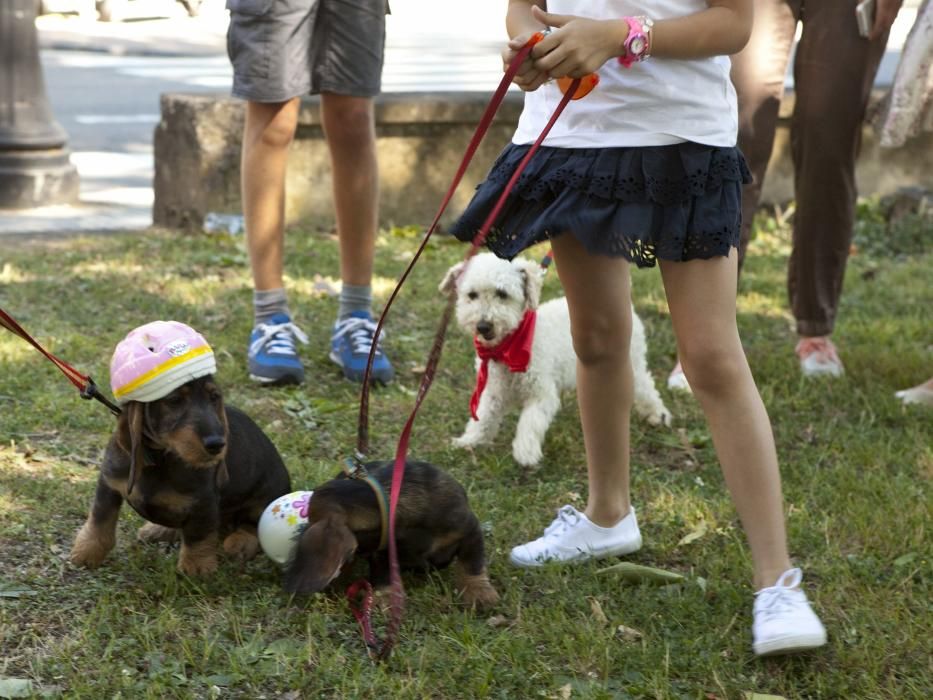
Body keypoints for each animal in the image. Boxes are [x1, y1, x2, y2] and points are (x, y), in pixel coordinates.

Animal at [438, 254, 668, 468]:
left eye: (502, 294)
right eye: (472, 295)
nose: (483, 326)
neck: (509, 346)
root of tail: (627, 304)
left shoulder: (541, 393)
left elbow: (530, 422)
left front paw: (525, 452)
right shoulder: (493, 391)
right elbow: (484, 417)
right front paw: (470, 440)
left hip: (632, 363)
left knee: (646, 387)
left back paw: (658, 415)